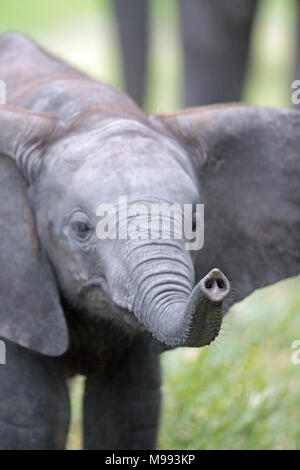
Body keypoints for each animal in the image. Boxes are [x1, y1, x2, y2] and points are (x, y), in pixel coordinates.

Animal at [0, 31, 298, 450]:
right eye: (81, 229)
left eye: (195, 224)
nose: (215, 281)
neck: (87, 113)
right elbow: (33, 419)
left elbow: (128, 414)